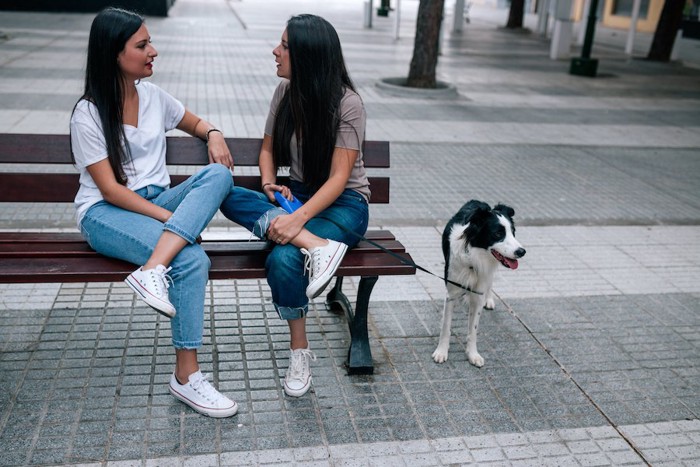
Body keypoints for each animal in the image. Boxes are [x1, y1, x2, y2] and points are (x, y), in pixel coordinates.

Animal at [432, 201, 524, 370]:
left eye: (513, 232)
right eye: (498, 234)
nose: (522, 251)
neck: (474, 260)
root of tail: (477, 202)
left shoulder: (478, 294)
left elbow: (473, 330)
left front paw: (473, 354)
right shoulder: (451, 294)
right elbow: (446, 326)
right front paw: (441, 352)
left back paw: (489, 300)